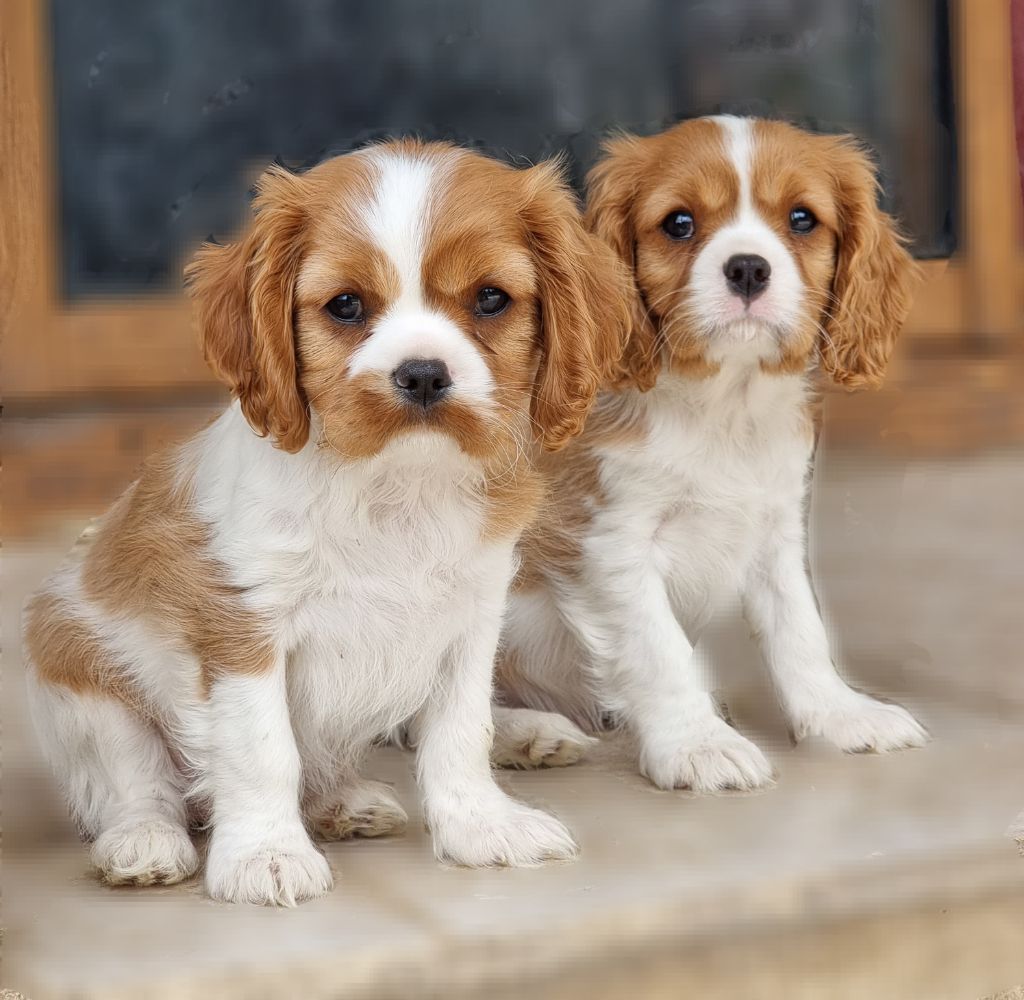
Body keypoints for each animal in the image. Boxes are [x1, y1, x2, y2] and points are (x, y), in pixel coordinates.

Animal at [24, 136, 626, 900]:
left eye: (491, 299)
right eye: (345, 305)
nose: (423, 373)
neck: (394, 484)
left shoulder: (470, 619)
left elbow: (460, 733)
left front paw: (481, 826)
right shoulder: (243, 629)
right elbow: (262, 750)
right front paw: (265, 855)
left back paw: (349, 801)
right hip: (83, 675)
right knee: (138, 783)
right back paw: (145, 843)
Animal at [495, 115, 929, 790]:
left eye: (802, 219)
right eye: (679, 223)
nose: (748, 268)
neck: (726, 405)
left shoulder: (774, 529)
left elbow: (800, 629)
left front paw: (839, 715)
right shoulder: (608, 544)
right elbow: (659, 650)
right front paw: (698, 745)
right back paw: (528, 733)